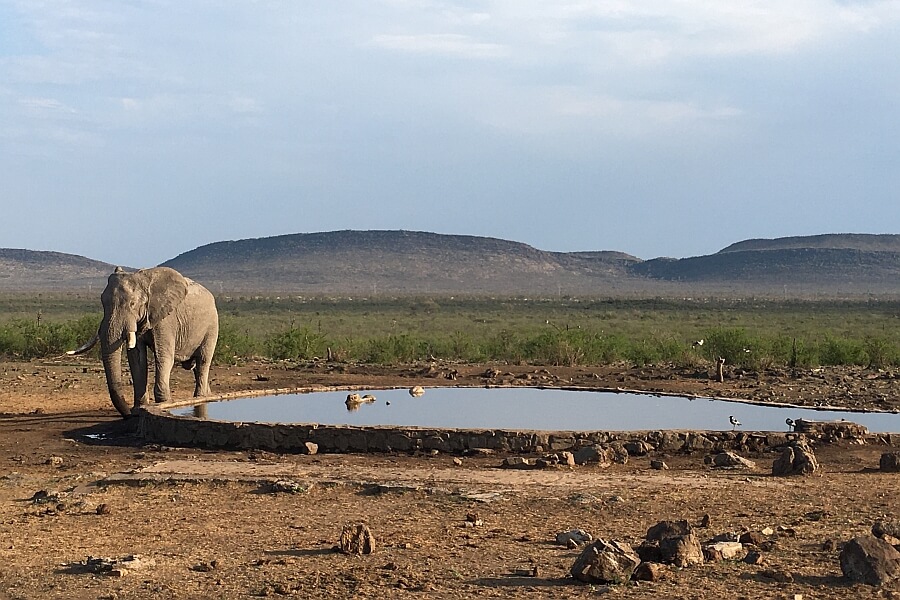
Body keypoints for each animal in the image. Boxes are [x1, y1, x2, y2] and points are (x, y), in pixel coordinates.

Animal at [70, 266, 219, 417]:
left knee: (203, 361)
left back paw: (201, 398)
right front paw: (140, 408)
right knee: (195, 366)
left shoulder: (166, 320)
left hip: (212, 326)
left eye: (132, 304)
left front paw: (164, 404)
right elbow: (136, 357)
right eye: (102, 303)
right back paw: (207, 396)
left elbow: (164, 357)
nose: (128, 414)